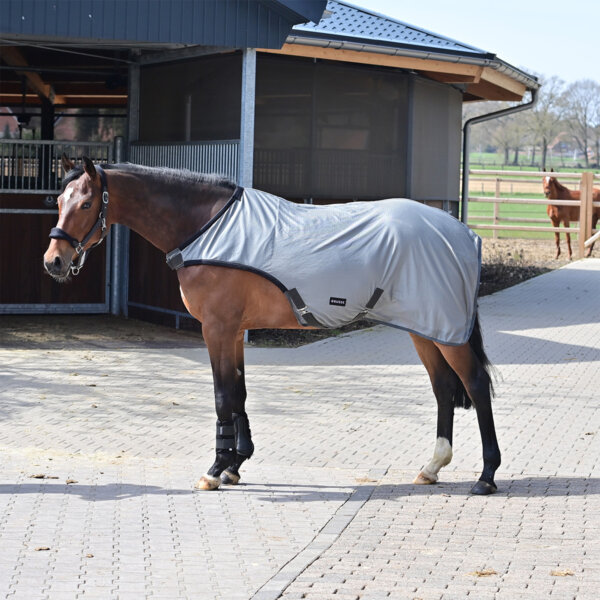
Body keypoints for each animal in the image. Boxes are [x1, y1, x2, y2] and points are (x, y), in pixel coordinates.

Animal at [43, 156, 502, 496]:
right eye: (59, 201)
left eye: (86, 204)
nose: (54, 262)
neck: (204, 226)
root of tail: (463, 234)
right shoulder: (233, 331)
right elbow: (239, 393)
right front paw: (235, 464)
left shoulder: (217, 329)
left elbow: (222, 396)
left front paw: (215, 469)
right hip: (425, 328)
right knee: (443, 388)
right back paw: (432, 467)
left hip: (444, 330)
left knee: (476, 385)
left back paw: (486, 476)